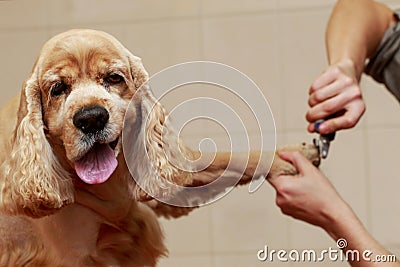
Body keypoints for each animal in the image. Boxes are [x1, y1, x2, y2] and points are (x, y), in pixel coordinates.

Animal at [0, 29, 318, 267]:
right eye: (57, 89)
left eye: (114, 78)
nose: (91, 118)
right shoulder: (75, 254)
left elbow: (233, 159)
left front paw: (295, 154)